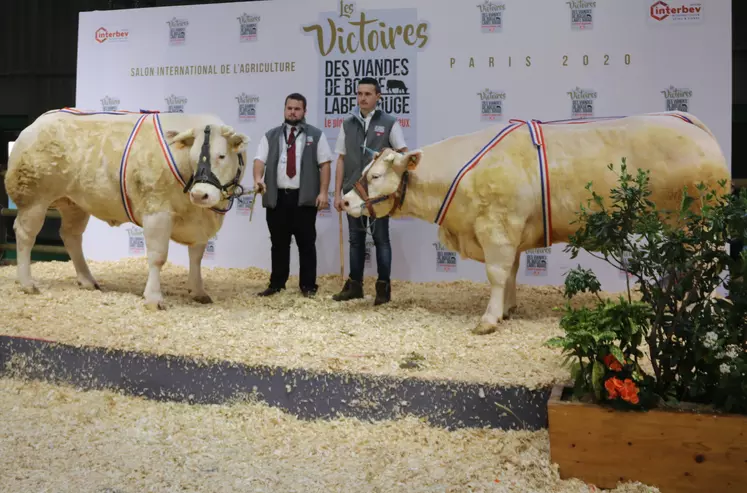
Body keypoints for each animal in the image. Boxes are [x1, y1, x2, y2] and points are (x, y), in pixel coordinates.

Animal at [4, 107, 251, 308]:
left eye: (221, 156)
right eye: (193, 157)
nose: (200, 194)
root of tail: (38, 122)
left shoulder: (199, 222)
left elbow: (197, 257)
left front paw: (199, 291)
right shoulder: (156, 211)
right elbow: (158, 256)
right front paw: (153, 298)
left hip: (75, 203)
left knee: (71, 236)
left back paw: (87, 280)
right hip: (33, 197)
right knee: (26, 234)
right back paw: (27, 283)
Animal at [344, 111, 732, 334]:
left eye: (375, 175)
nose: (344, 200)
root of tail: (688, 122)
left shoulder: (497, 228)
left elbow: (497, 274)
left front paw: (488, 320)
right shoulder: (510, 232)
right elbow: (512, 272)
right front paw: (507, 310)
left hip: (699, 223)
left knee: (706, 267)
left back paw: (698, 313)